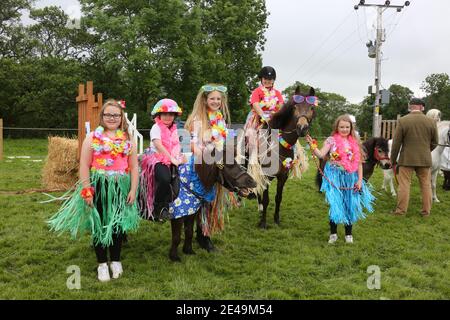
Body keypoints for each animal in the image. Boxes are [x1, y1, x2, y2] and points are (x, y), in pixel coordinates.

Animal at [255, 86, 318, 229]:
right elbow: (266, 199)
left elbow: (278, 198)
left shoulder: (283, 177)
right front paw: (263, 223)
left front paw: (276, 219)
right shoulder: (266, 175)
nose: (302, 128)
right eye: (294, 107)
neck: (279, 146)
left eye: (312, 107)